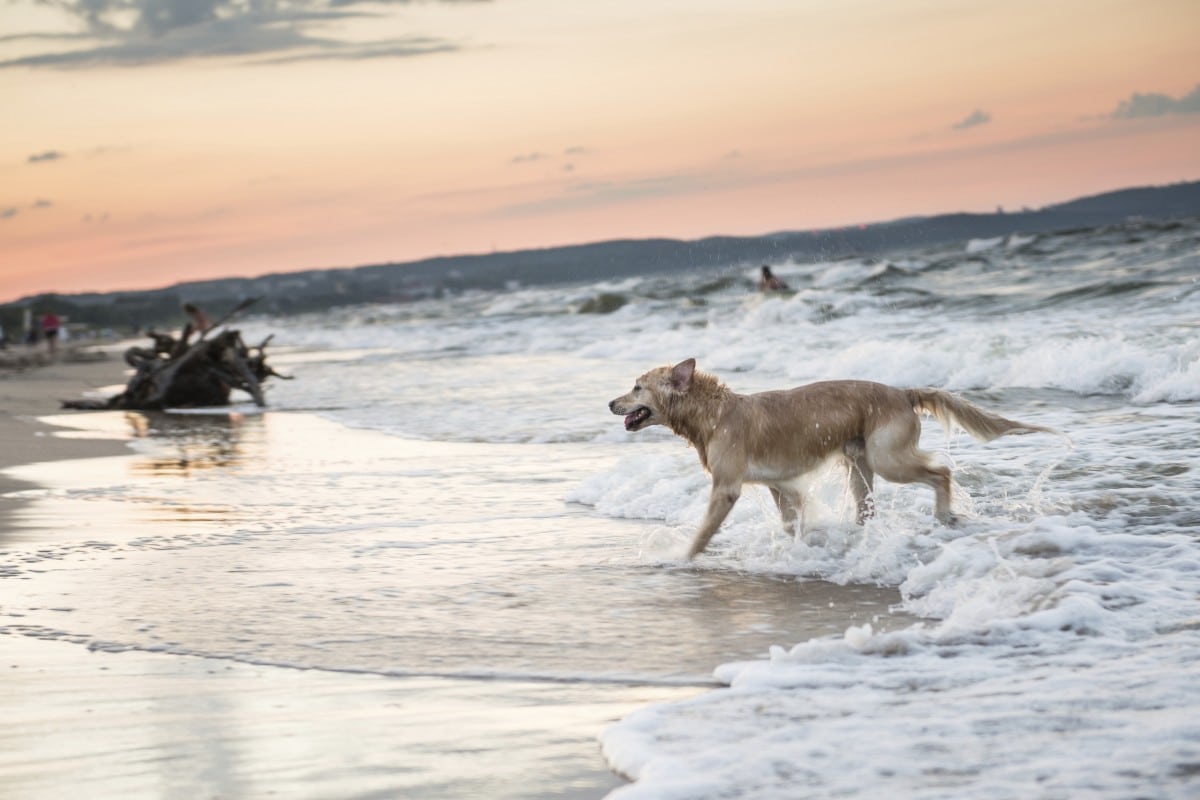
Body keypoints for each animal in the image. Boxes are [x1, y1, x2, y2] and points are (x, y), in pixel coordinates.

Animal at [604, 359, 1056, 561]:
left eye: (637, 387)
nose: (610, 402)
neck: (713, 414)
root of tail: (902, 392)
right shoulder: (780, 484)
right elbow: (792, 522)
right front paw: (807, 544)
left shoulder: (727, 488)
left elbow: (703, 533)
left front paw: (681, 558)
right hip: (860, 465)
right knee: (868, 509)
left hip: (887, 457)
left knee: (941, 471)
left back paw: (945, 515)